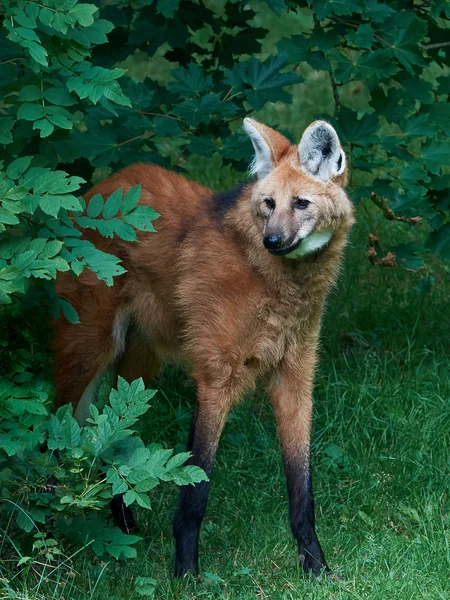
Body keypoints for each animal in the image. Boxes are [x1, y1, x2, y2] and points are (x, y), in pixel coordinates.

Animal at [53, 118, 356, 576]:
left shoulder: (295, 377)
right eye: (268, 204)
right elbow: (196, 486)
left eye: (301, 203)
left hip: (140, 367)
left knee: (116, 433)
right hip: (89, 347)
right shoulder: (217, 377)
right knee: (52, 431)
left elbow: (301, 487)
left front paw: (315, 566)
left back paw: (124, 524)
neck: (282, 287)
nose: (271, 240)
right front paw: (185, 573)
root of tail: (98, 190)